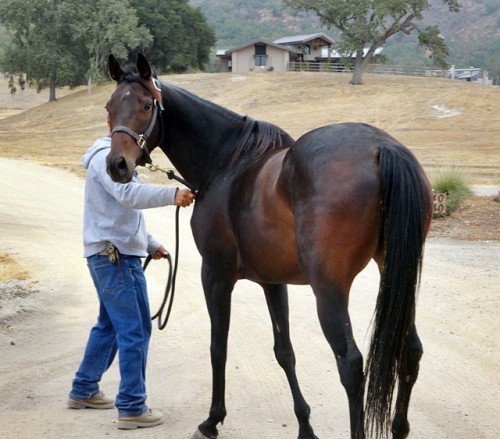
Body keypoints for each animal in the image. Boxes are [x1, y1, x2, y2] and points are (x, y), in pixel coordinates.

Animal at [105, 52, 434, 439]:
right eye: (109, 106)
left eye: (145, 104)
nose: (117, 165)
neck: (226, 163)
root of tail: (382, 148)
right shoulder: (273, 282)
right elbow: (284, 351)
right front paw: (305, 427)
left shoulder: (215, 275)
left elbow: (218, 346)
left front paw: (212, 420)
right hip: (395, 273)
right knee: (410, 351)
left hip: (329, 290)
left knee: (351, 365)